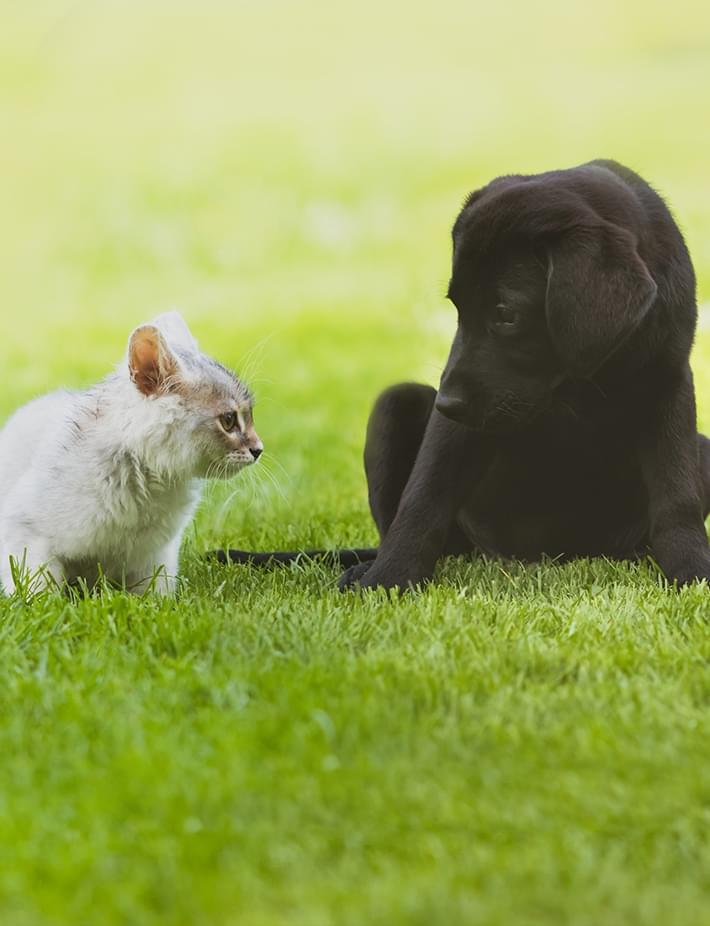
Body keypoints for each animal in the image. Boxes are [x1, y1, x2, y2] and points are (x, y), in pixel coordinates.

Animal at [0, 312, 262, 600]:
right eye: (229, 420)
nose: (258, 449)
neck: (147, 481)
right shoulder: (25, 531)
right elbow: (37, 588)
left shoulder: (156, 553)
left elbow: (155, 591)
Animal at [338, 159, 710, 592]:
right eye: (458, 307)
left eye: (506, 314)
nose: (446, 404)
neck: (575, 381)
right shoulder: (459, 418)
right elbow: (424, 494)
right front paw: (388, 577)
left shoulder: (668, 382)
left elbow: (677, 495)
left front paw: (692, 569)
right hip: (395, 403)